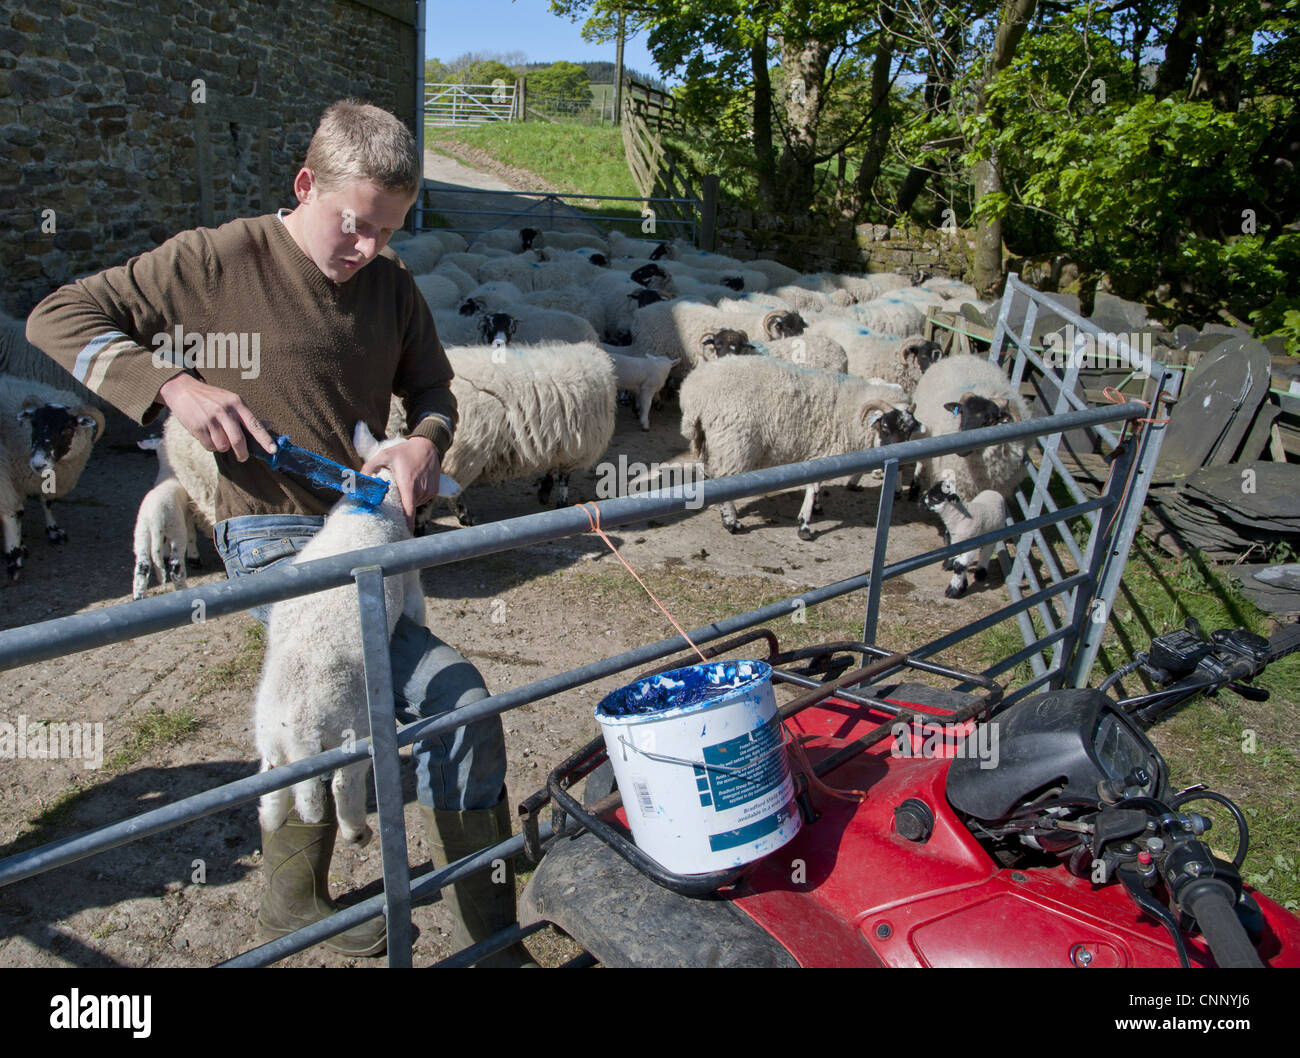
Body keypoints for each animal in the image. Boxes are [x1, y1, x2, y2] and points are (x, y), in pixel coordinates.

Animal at [0, 379, 105, 579]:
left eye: (66, 429)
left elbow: (46, 502)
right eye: (34, 424)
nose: (38, 463)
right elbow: (17, 512)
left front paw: (54, 531)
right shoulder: (13, 480)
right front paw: (19, 546)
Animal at [249, 423, 421, 847]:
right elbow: (415, 606)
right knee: (345, 784)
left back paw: (274, 821)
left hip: (271, 744)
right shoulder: (410, 576)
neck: (382, 496)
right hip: (353, 731)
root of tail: (298, 728)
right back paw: (355, 830)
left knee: (272, 789)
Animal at [439, 340, 616, 525]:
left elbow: (553, 470)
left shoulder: (557, 443)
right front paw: (561, 504)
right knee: (451, 492)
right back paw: (464, 516)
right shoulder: (575, 448)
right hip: (463, 451)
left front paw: (545, 491)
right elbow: (564, 479)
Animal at [681, 356, 925, 538]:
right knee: (723, 479)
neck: (850, 409)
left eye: (909, 431)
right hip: (734, 444)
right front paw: (804, 525)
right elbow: (813, 487)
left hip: (710, 441)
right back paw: (732, 523)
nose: (902, 461)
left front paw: (816, 508)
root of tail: (692, 393)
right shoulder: (822, 452)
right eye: (884, 426)